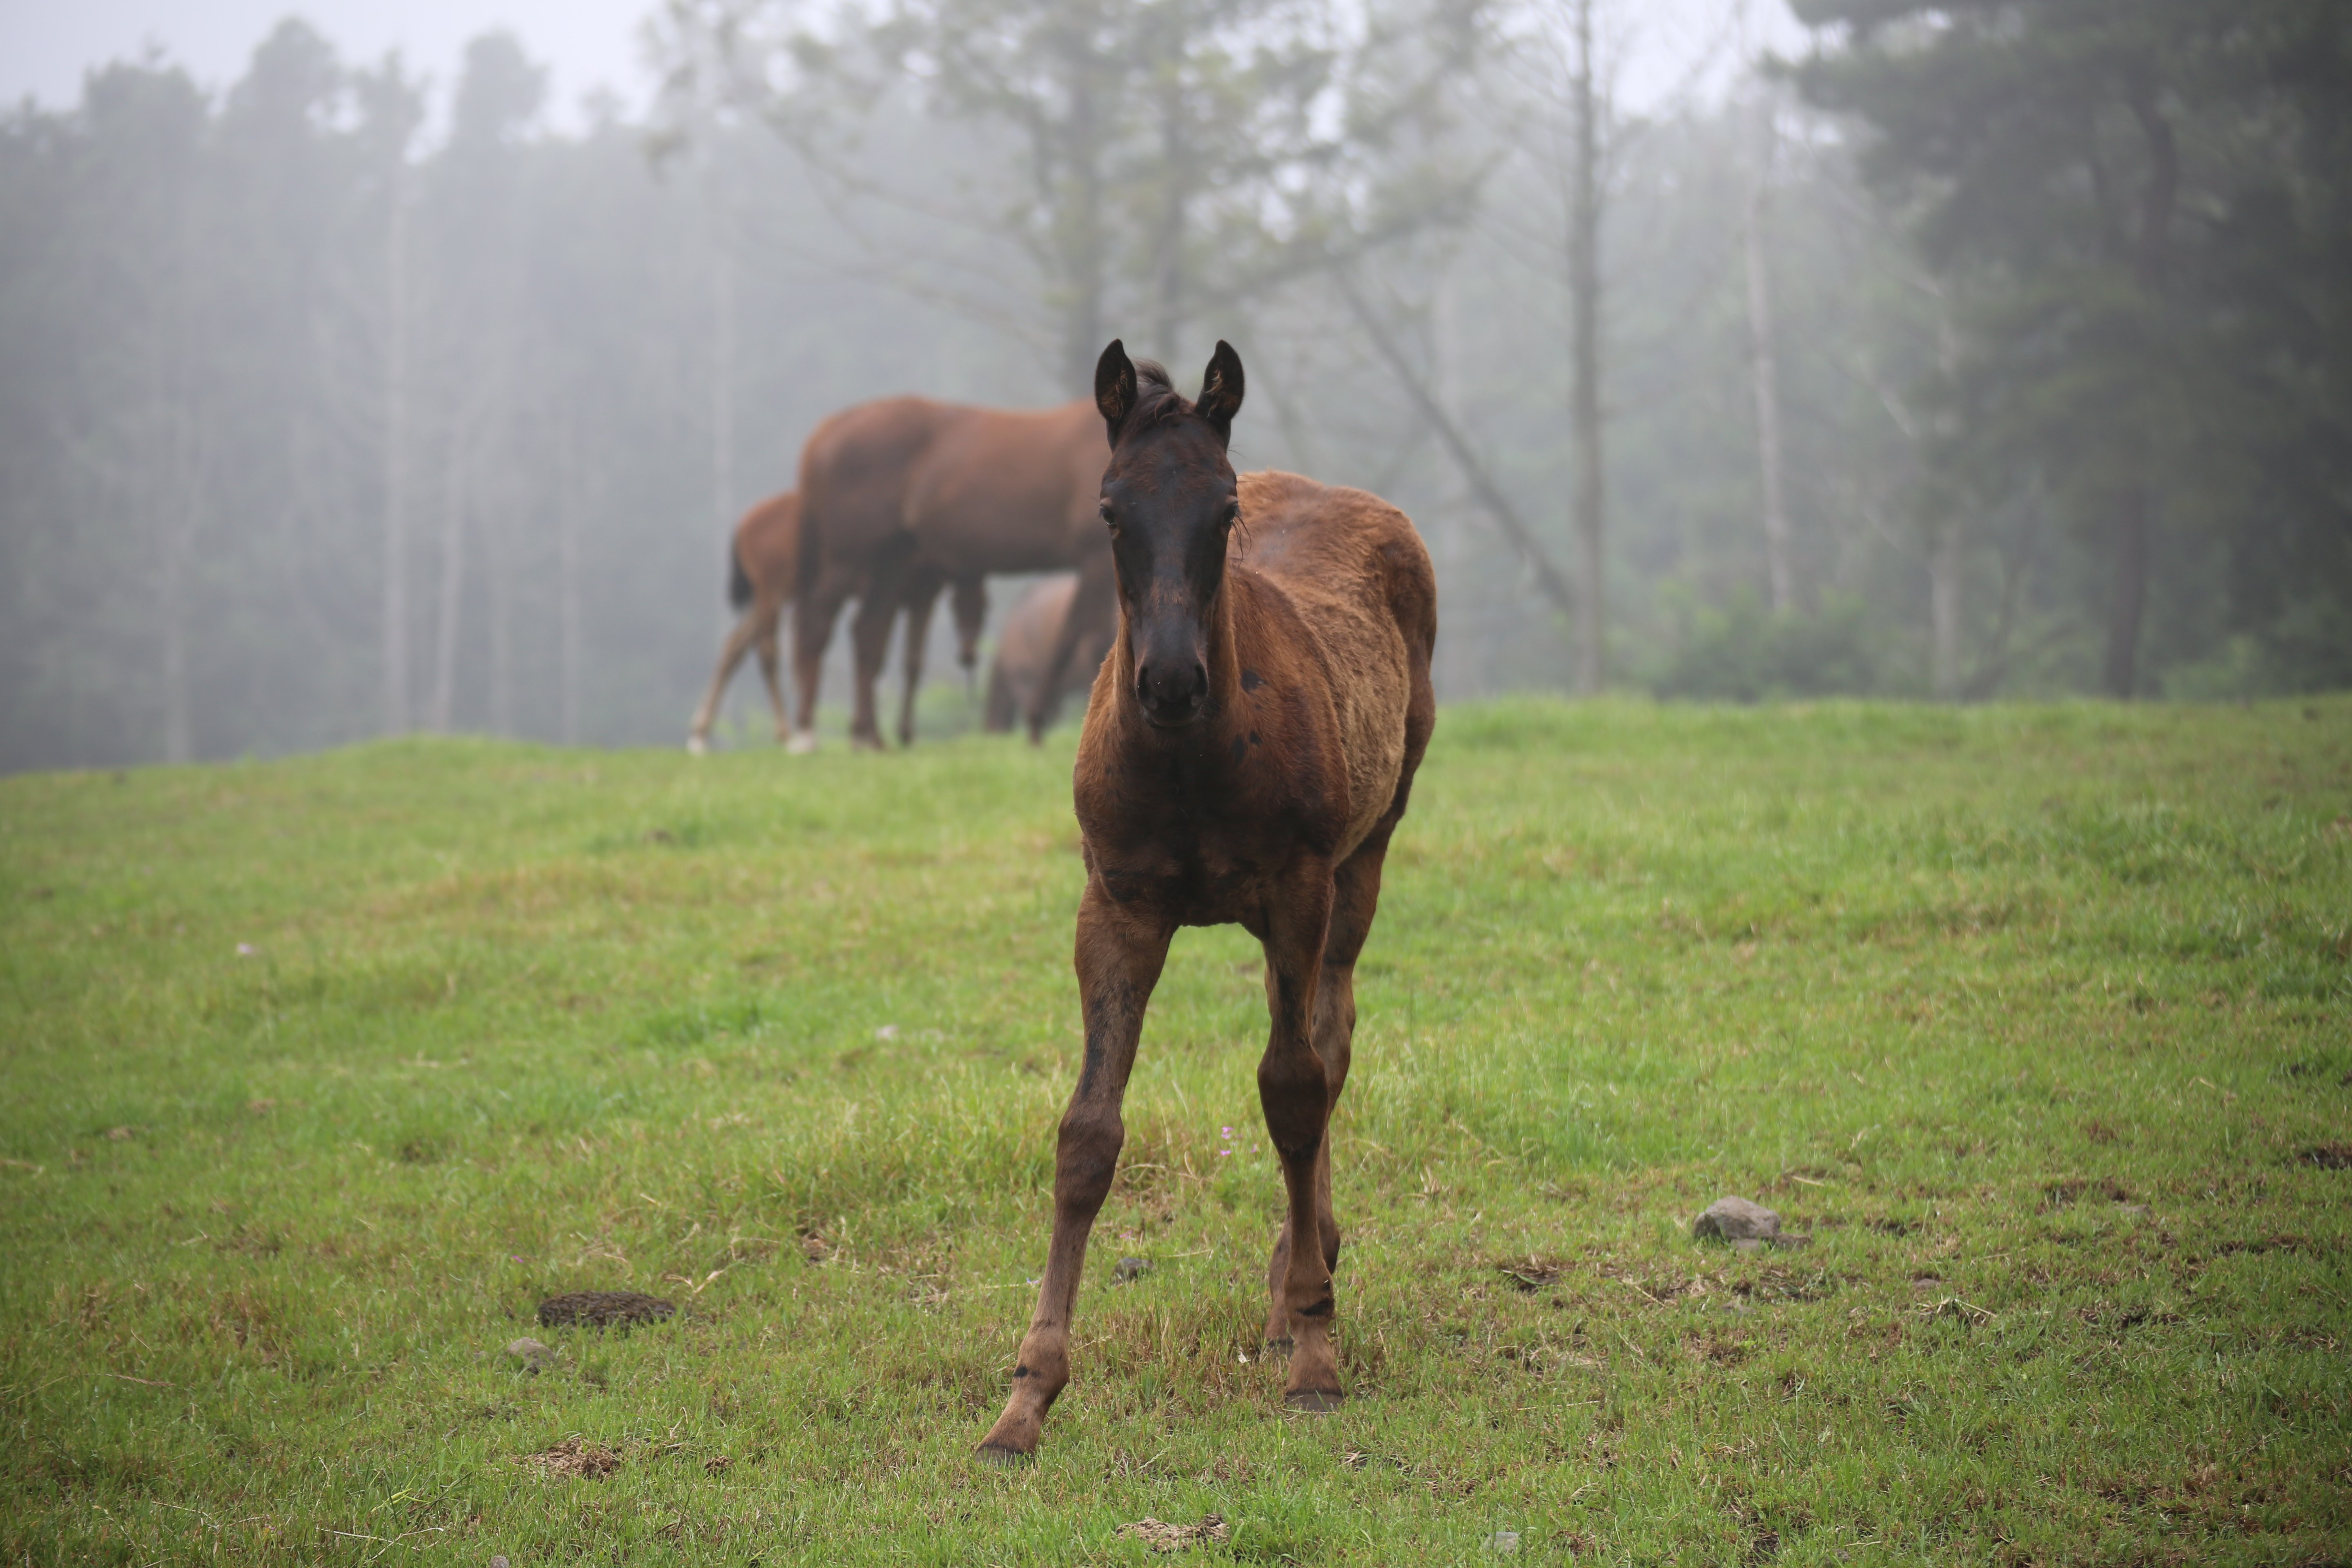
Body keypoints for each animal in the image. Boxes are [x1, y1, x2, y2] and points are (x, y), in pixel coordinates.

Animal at [686, 493, 988, 757]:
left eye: (987, 608)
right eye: (969, 606)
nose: (969, 655)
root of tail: (746, 523)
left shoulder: (921, 598)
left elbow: (912, 663)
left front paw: (902, 733)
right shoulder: (894, 596)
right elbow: (875, 657)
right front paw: (869, 735)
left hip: (774, 596)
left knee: (735, 646)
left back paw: (701, 734)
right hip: (771, 592)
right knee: (767, 650)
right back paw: (786, 734)